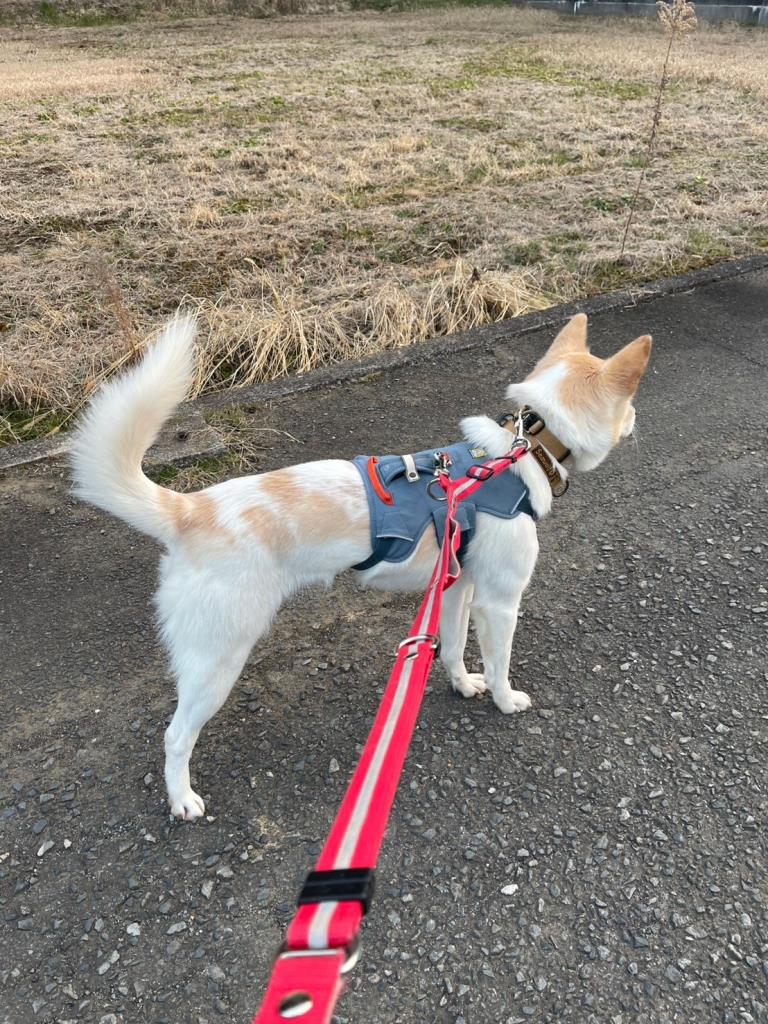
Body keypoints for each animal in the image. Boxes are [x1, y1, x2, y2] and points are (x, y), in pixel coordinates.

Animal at [70, 312, 651, 820]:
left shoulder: (457, 590)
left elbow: (452, 649)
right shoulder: (500, 603)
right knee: (175, 736)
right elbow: (500, 662)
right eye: (630, 405)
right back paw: (182, 800)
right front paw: (507, 701)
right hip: (220, 656)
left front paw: (463, 684)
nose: (637, 421)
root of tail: (191, 509)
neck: (525, 450)